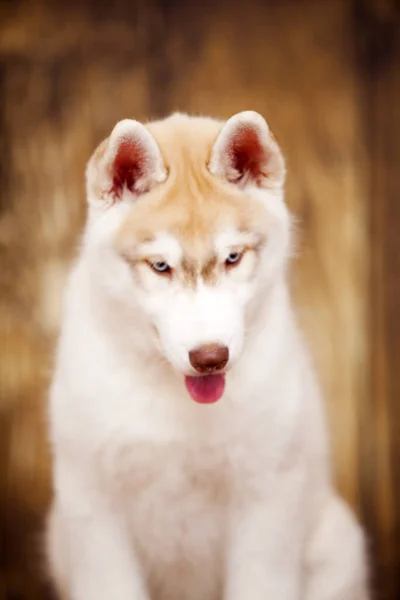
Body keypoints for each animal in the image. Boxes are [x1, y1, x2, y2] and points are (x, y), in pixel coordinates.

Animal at [44, 110, 368, 596]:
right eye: (161, 266)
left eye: (233, 257)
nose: (211, 357)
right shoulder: (94, 506)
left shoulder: (266, 502)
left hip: (338, 545)